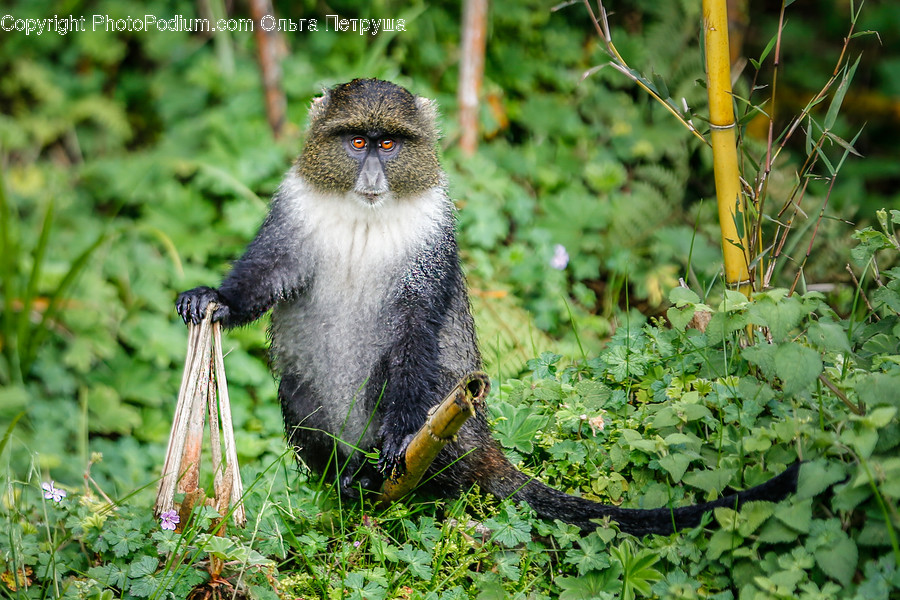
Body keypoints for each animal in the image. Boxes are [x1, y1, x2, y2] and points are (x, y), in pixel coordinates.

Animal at [176, 78, 800, 536]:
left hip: (451, 425)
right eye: (356, 142)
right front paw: (213, 300)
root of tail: (480, 439)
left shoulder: (433, 233)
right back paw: (347, 480)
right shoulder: (295, 205)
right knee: (299, 394)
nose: (373, 174)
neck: (365, 215)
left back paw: (380, 472)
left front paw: (397, 439)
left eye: (389, 144)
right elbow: (270, 273)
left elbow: (415, 329)